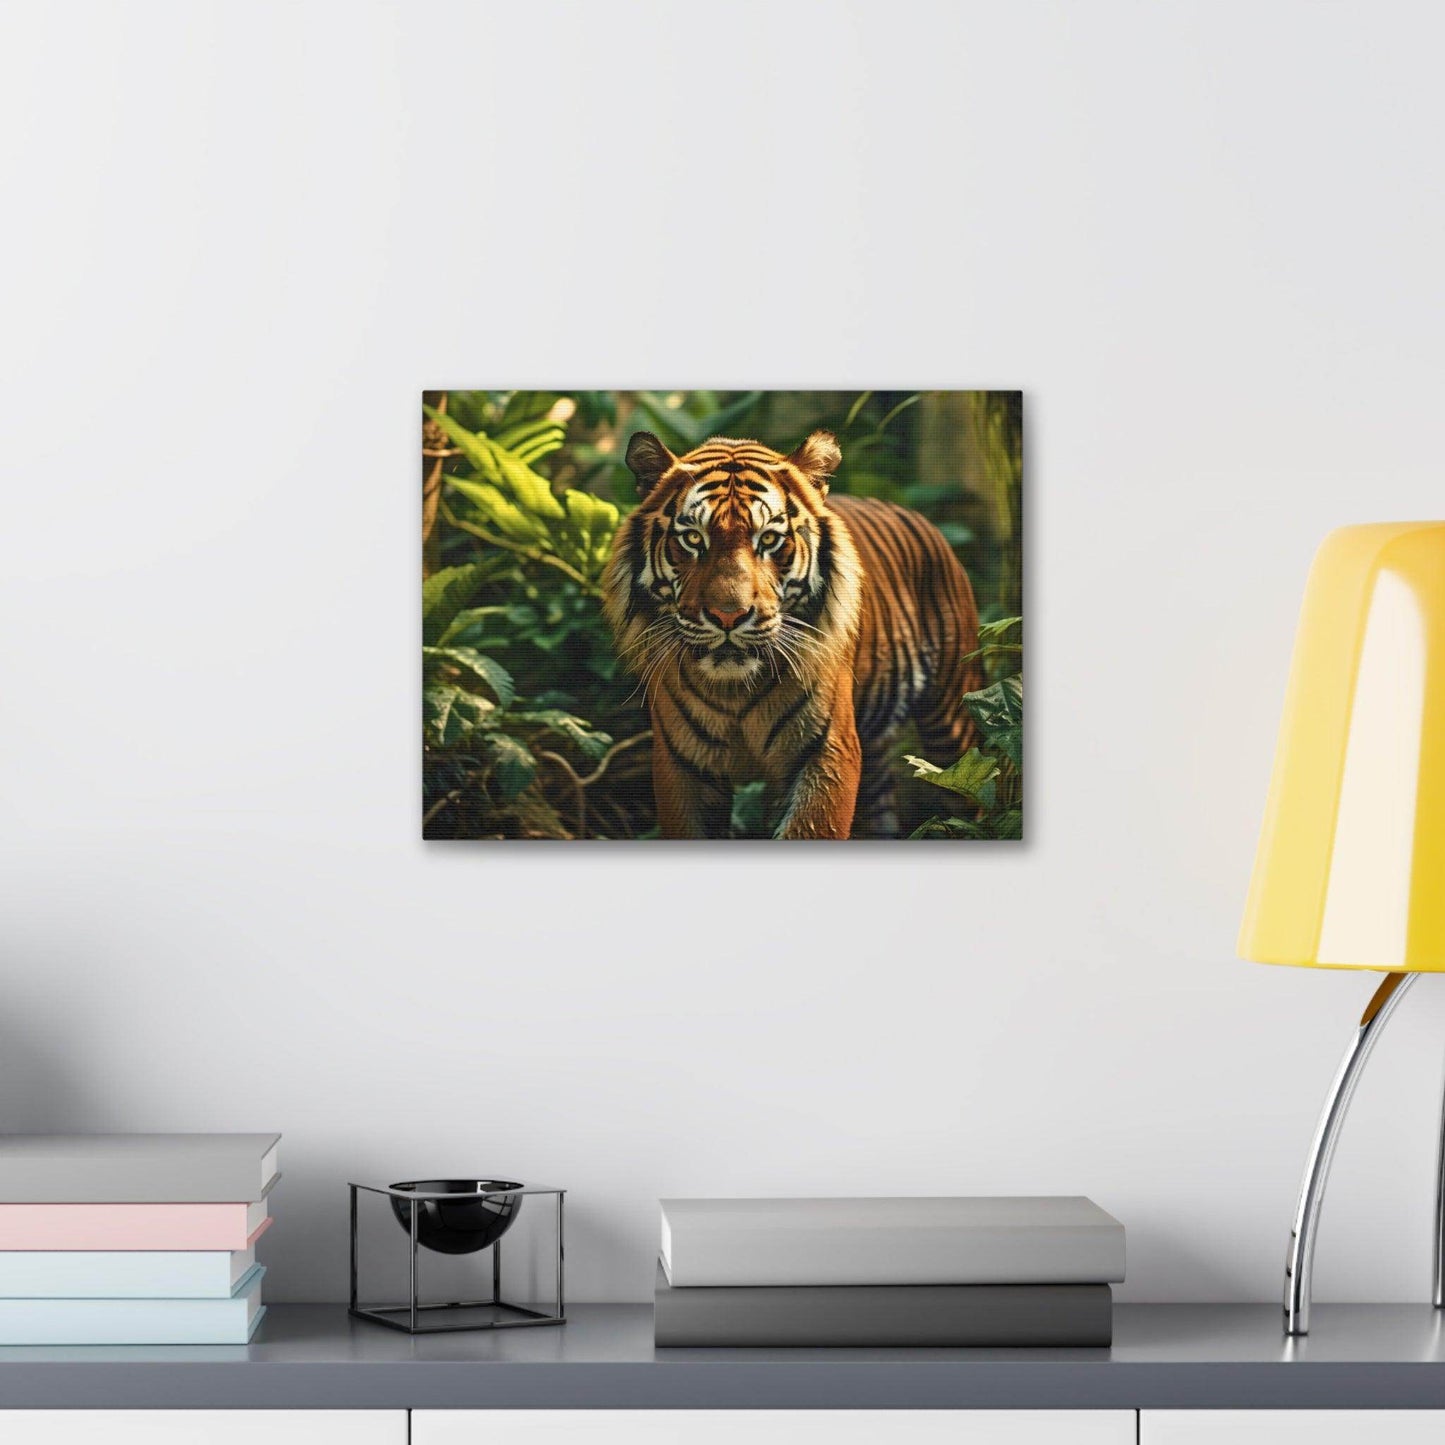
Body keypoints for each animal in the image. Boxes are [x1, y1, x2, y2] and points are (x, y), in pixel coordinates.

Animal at [602, 429, 982, 839]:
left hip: (953, 719)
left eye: (769, 540)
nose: (728, 615)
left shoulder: (827, 751)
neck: (735, 692)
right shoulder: (681, 764)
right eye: (692, 538)